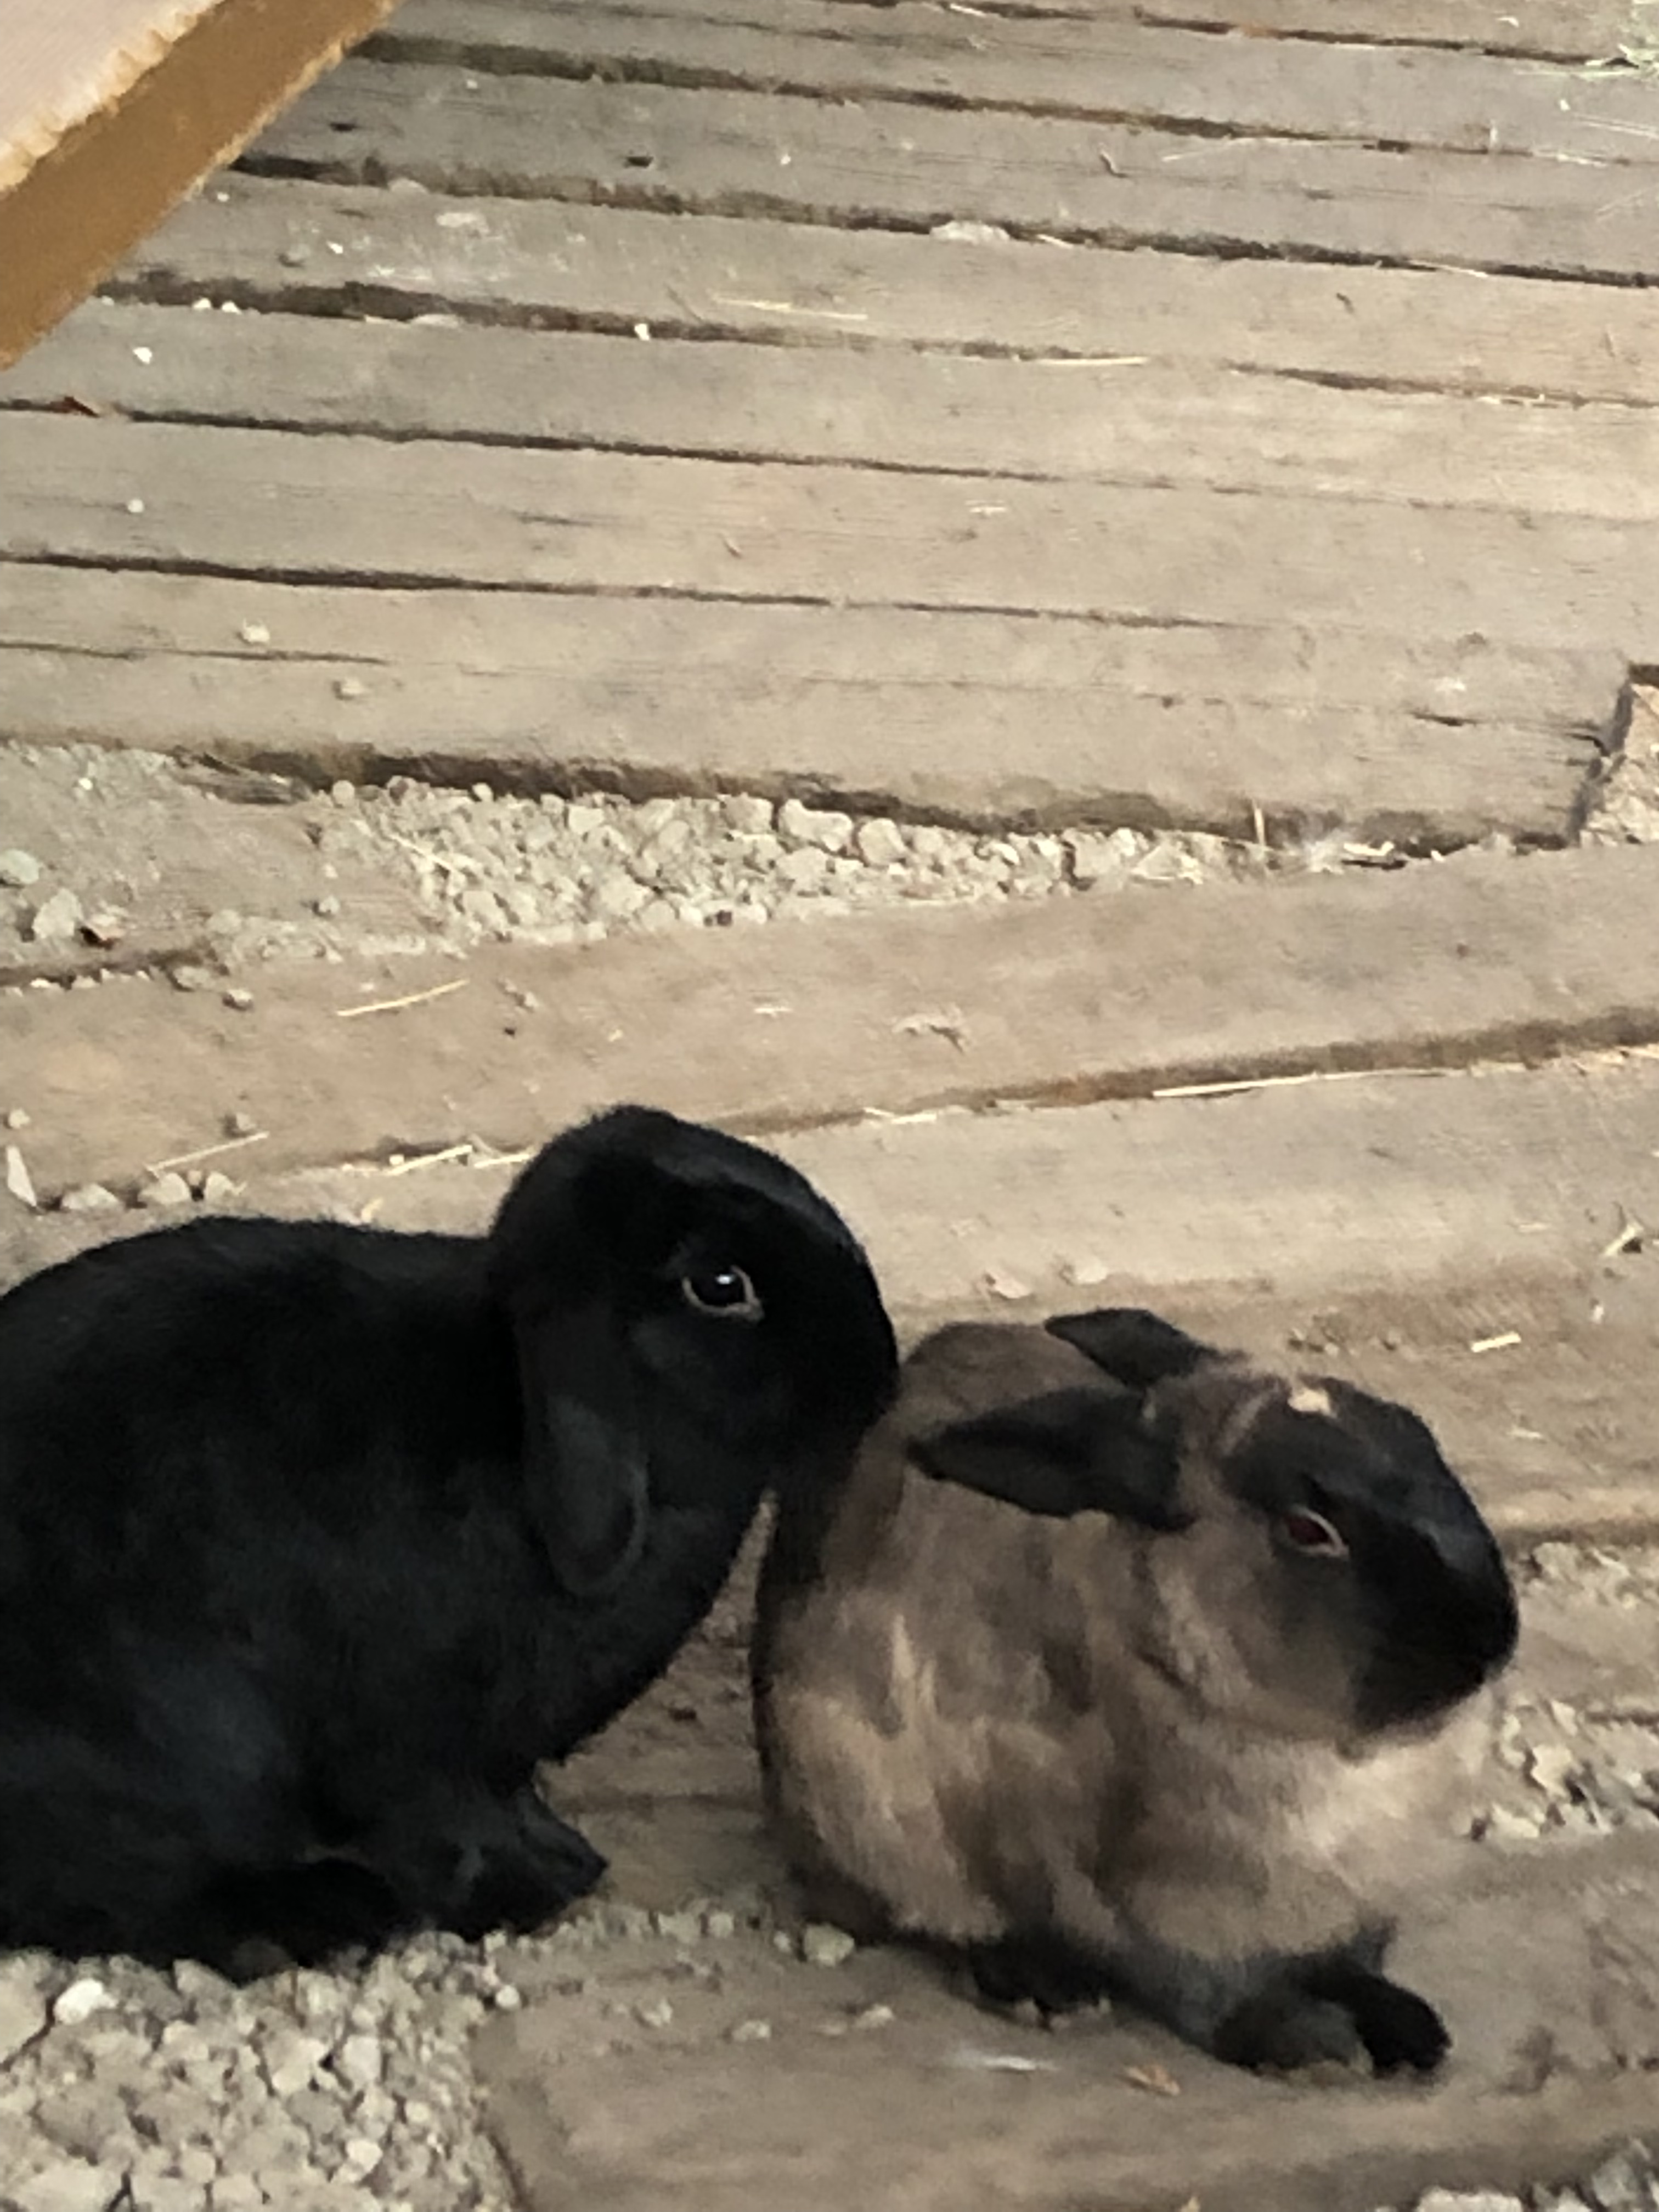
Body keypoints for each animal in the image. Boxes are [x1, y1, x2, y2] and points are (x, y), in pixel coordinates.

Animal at [0, 1101, 898, 1973]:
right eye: (720, 1285)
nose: (881, 1377)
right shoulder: (413, 1749)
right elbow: (441, 1822)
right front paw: (529, 1889)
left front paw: (562, 1858)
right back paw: (316, 1919)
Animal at [752, 1291, 1522, 2070]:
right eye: (1309, 1529)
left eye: (1421, 1433)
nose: (1489, 1639)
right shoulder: (1152, 1912)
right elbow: (1207, 1995)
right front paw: (1305, 2040)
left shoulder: (1357, 1910)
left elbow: (1354, 1963)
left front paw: (1408, 2029)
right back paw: (1043, 1987)